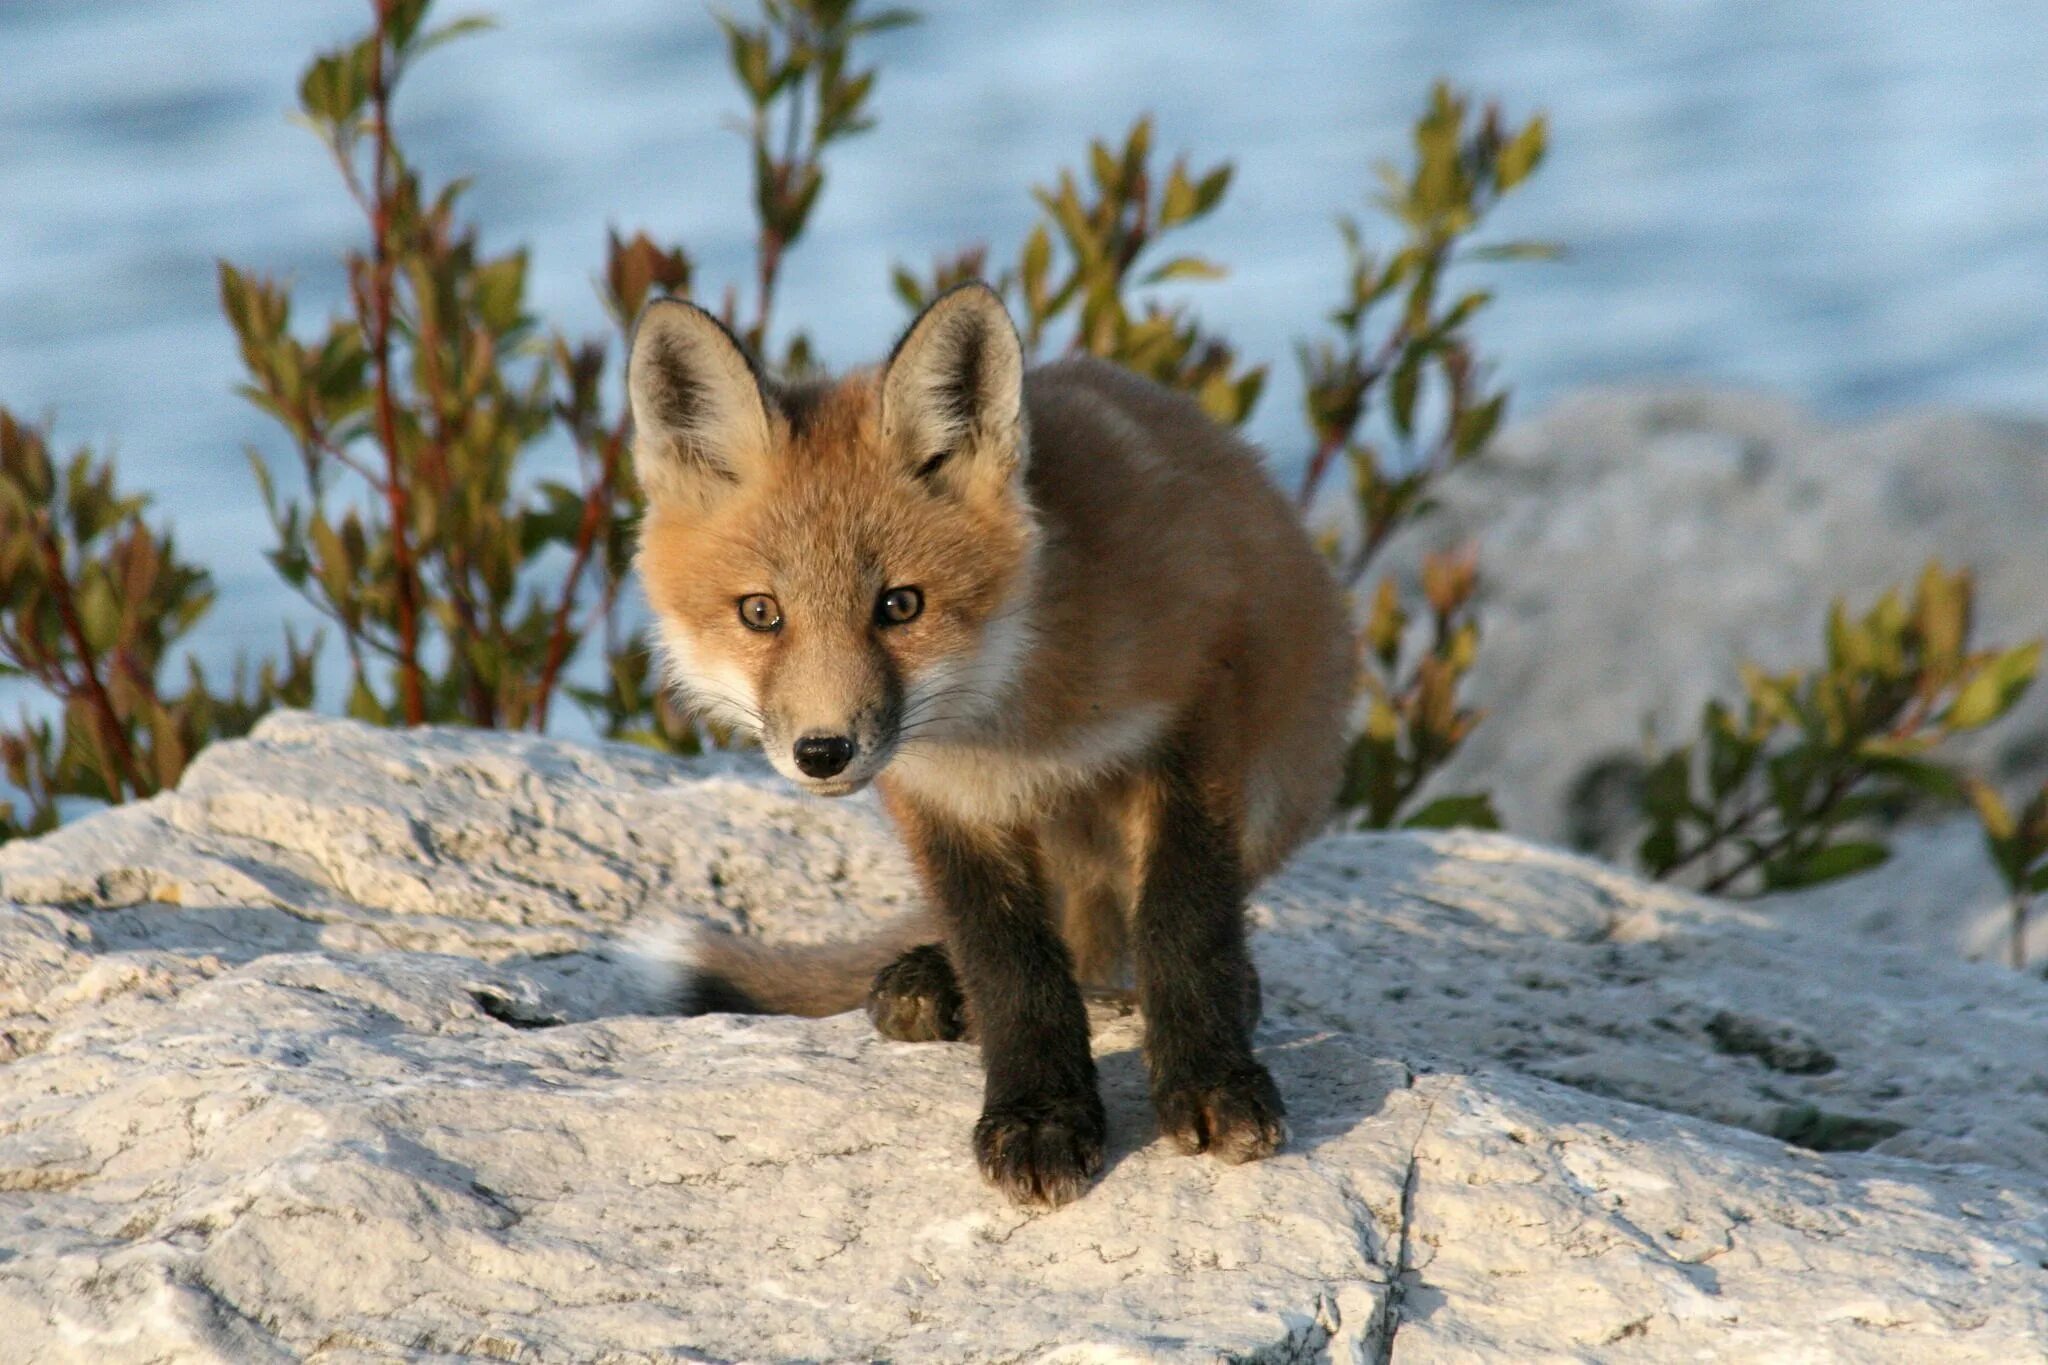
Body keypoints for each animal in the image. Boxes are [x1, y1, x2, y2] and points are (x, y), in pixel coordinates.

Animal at [630, 286, 1351, 1203]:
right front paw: (1039, 1113)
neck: (1017, 718)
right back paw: (929, 978)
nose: (823, 752)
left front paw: (1211, 1077)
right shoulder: (943, 796)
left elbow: (1184, 920)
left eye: (900, 605)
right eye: (761, 612)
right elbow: (1009, 961)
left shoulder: (1201, 709)